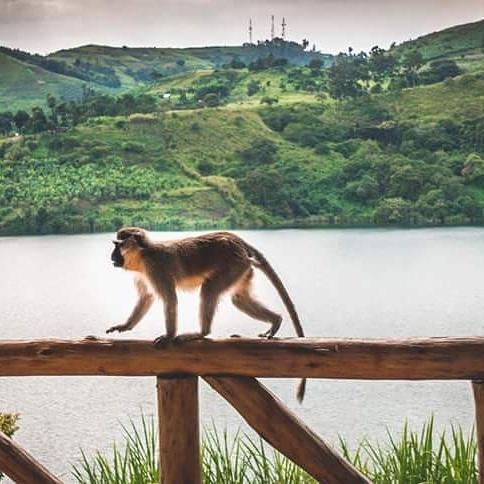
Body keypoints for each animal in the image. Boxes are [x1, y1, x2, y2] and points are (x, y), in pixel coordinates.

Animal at [108, 229, 306, 402]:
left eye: (118, 245)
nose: (112, 256)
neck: (143, 254)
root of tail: (237, 242)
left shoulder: (155, 267)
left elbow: (170, 298)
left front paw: (169, 336)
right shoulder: (143, 273)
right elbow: (146, 298)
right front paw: (126, 325)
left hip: (233, 263)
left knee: (209, 289)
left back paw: (202, 333)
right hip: (242, 267)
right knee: (238, 299)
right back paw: (276, 320)